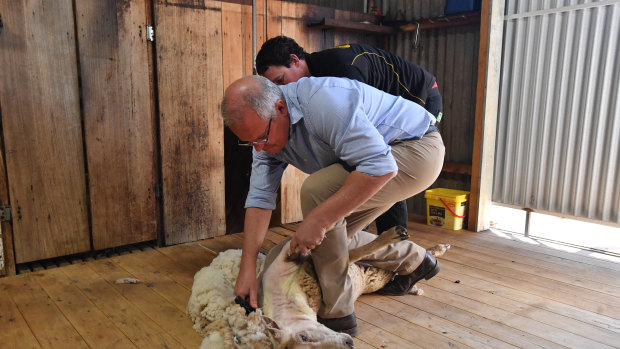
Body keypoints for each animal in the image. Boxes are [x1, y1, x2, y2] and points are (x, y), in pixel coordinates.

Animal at [186, 227, 448, 346]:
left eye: (304, 336)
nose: (349, 343)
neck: (288, 296)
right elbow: (351, 255)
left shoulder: (297, 256)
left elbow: (351, 252)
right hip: (377, 278)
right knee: (390, 270)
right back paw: (417, 276)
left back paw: (435, 249)